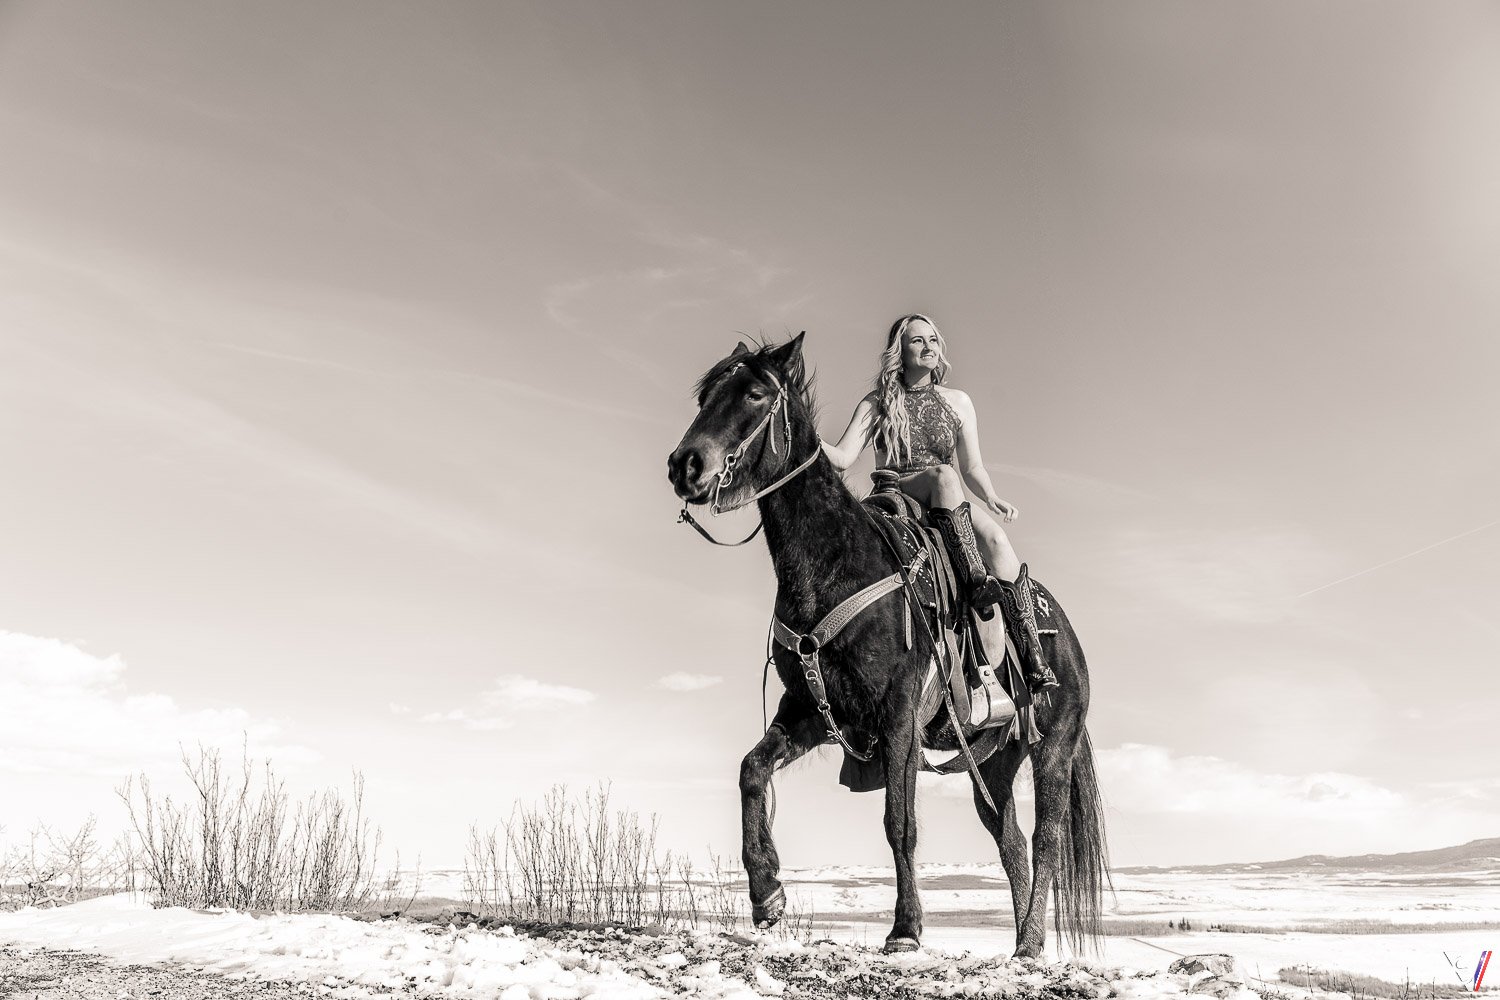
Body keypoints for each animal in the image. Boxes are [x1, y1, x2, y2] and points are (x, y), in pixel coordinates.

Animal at [669, 335, 1116, 959]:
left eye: (755, 393)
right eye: (705, 395)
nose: (685, 464)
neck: (835, 564)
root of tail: (1067, 638)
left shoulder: (898, 712)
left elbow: (898, 822)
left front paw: (906, 928)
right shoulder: (811, 709)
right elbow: (751, 769)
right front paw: (766, 892)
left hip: (1053, 744)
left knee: (1045, 836)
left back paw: (1029, 945)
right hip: (993, 761)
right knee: (1010, 842)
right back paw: (1021, 937)